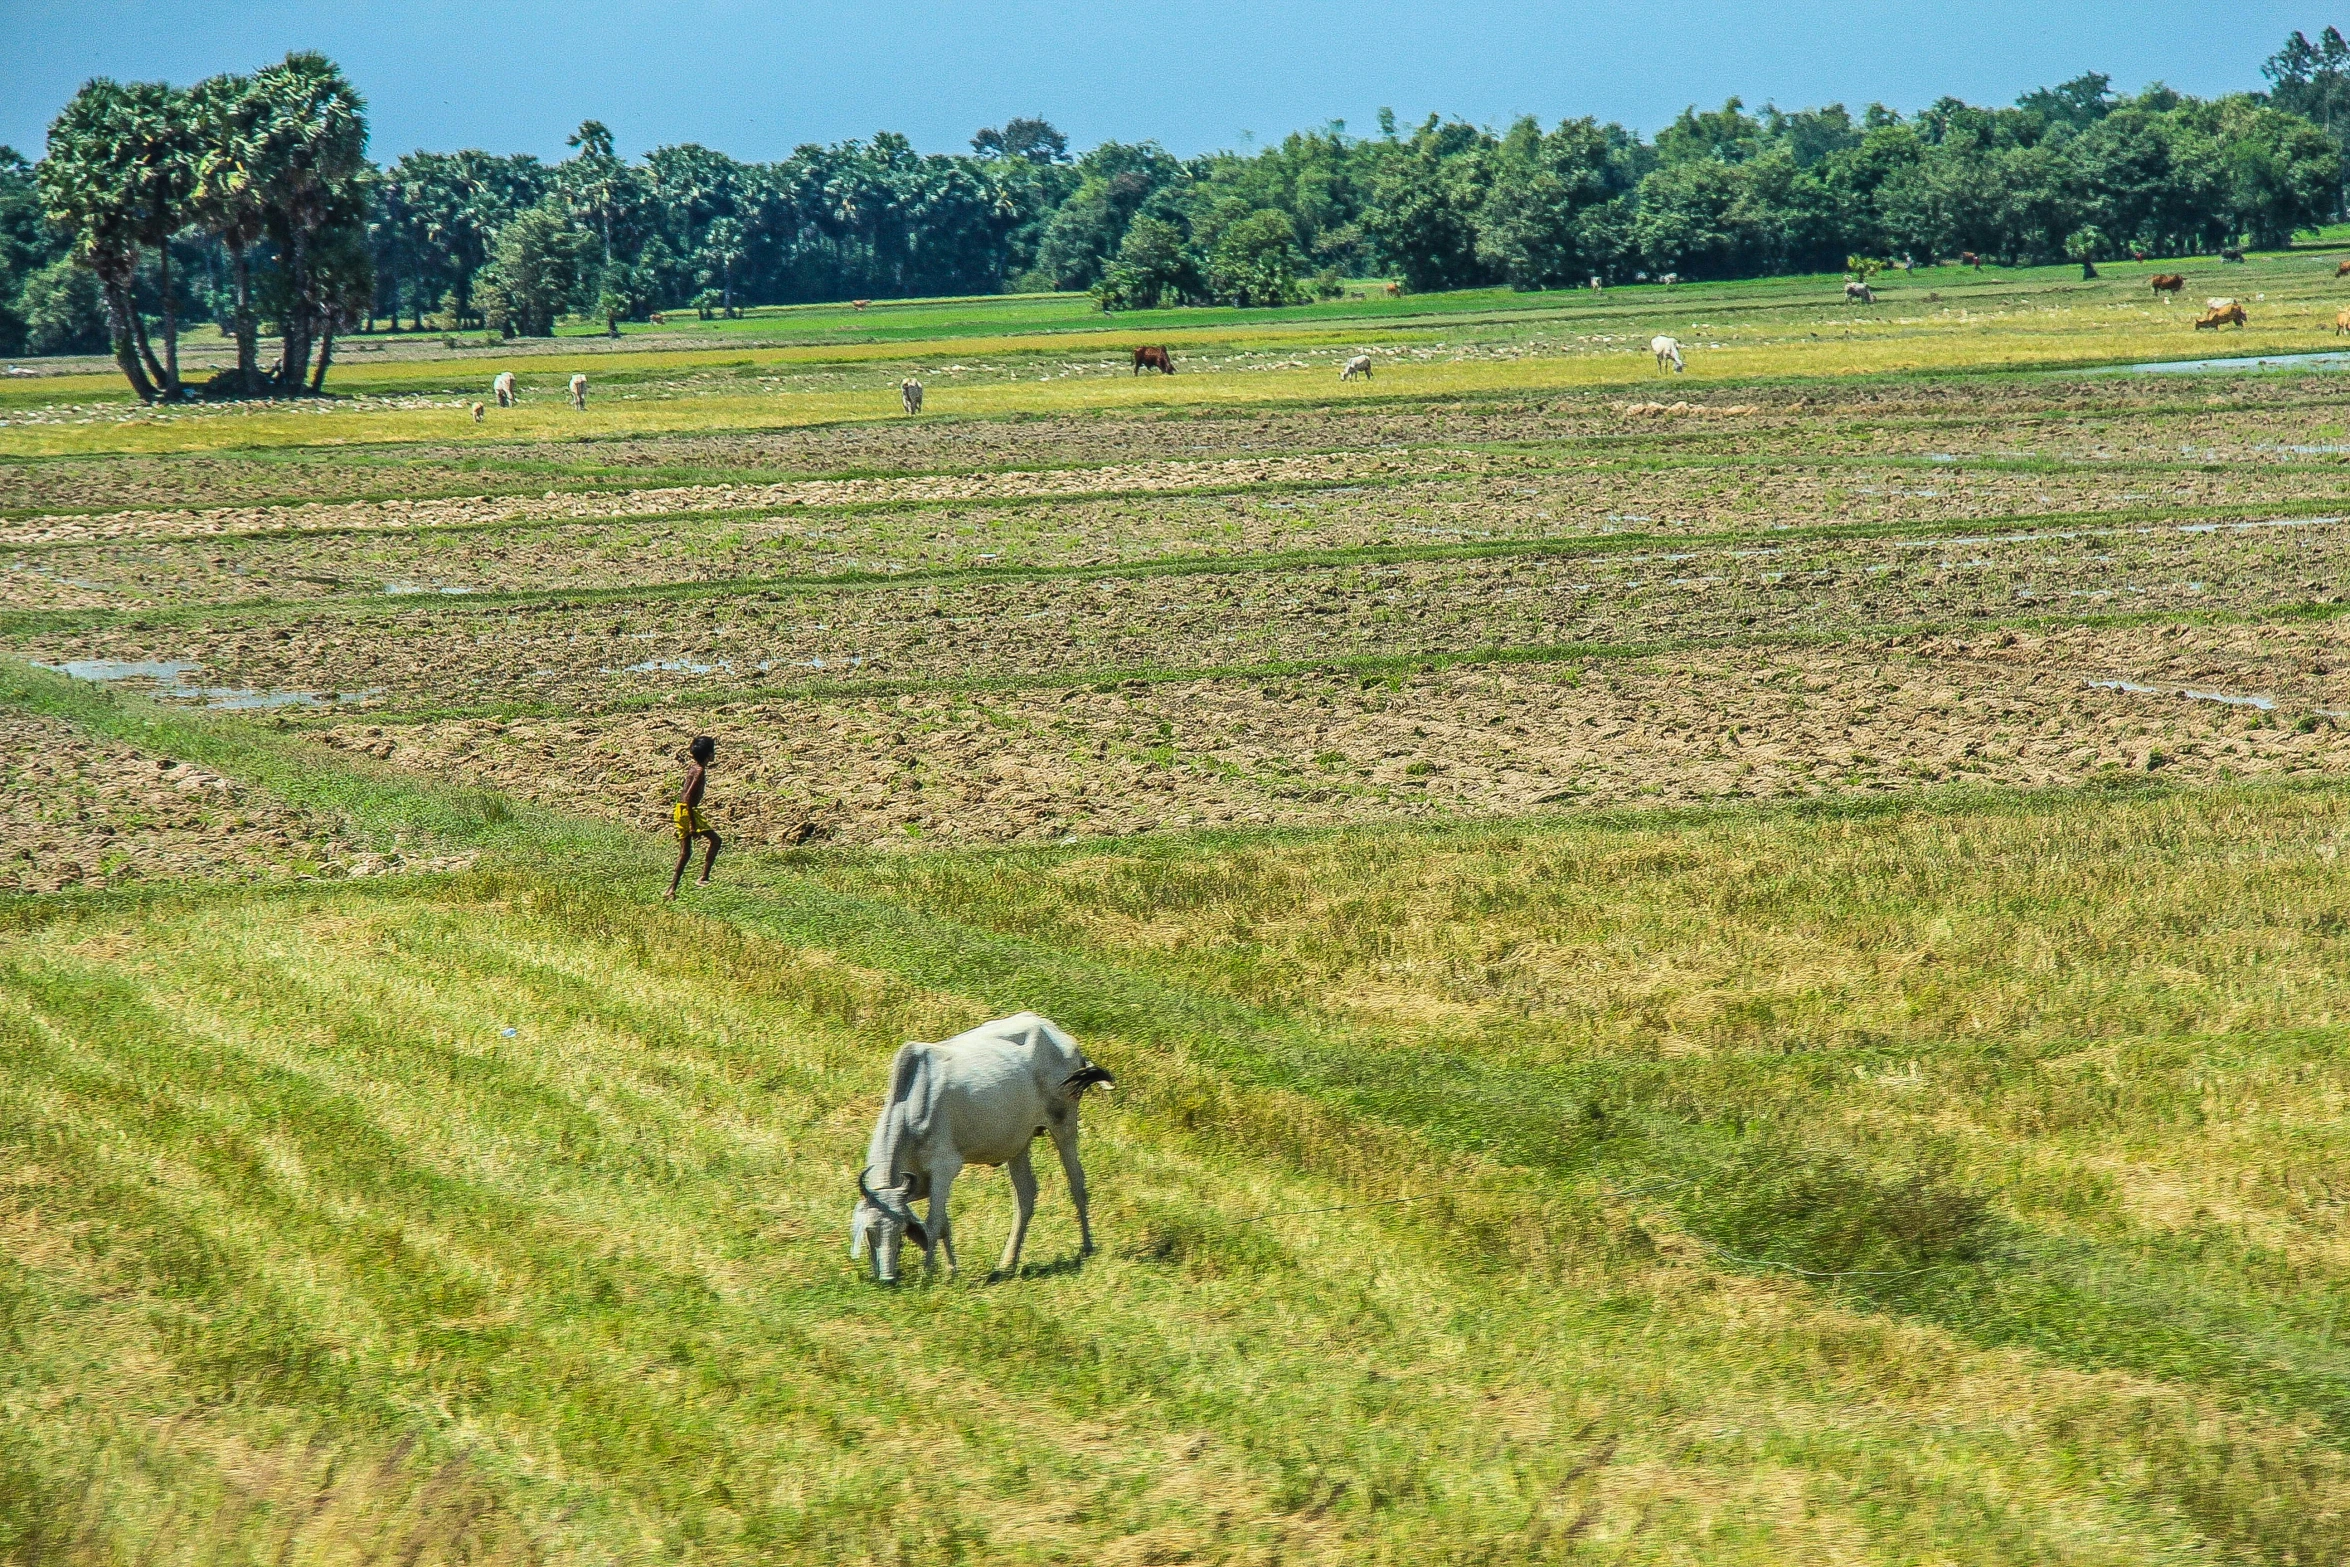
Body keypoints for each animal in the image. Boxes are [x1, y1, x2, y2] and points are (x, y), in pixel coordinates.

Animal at [850, 1019, 1113, 1287]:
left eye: (901, 1230)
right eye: (870, 1232)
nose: (887, 1278)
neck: (911, 1107)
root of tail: (1058, 1034)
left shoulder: (944, 1167)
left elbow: (934, 1223)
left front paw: (927, 1273)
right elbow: (944, 1223)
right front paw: (951, 1269)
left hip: (1064, 1125)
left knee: (1077, 1184)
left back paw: (1086, 1247)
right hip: (1018, 1143)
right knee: (1025, 1196)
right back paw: (1008, 1262)